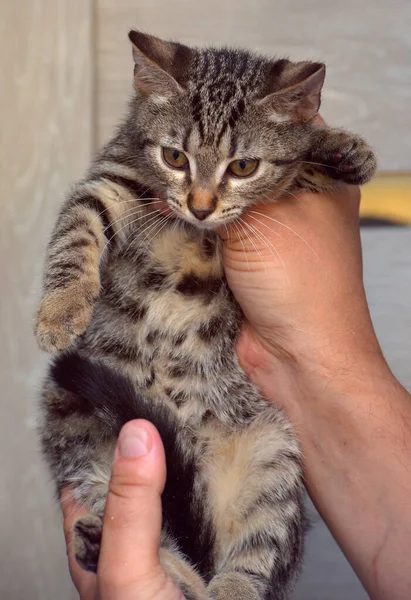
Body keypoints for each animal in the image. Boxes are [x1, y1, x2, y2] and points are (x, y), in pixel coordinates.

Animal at [35, 30, 376, 596]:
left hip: (274, 456)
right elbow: (76, 228)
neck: (196, 230)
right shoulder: (115, 177)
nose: (199, 206)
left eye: (242, 167)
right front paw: (60, 309)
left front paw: (339, 148)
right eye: (174, 156)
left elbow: (300, 165)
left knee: (253, 557)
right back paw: (108, 544)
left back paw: (219, 582)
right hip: (77, 419)